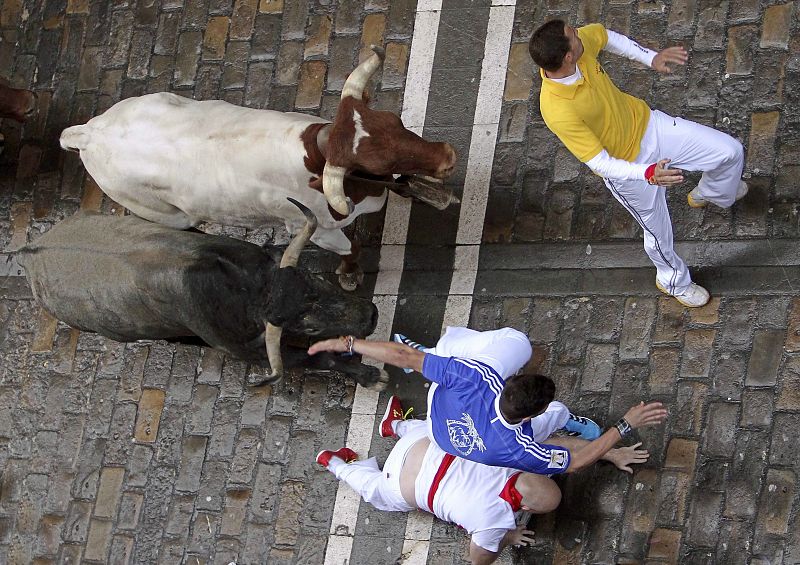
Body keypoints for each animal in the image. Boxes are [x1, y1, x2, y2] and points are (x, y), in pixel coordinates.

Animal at [18, 205, 388, 390]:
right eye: (308, 327)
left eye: (316, 279)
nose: (371, 316)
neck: (248, 290)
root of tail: (28, 252)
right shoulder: (247, 352)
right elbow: (319, 358)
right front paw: (370, 376)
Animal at [57, 46, 456, 288]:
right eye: (375, 161)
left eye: (395, 122)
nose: (448, 155)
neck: (311, 155)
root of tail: (88, 132)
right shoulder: (318, 231)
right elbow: (352, 249)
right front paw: (349, 274)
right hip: (165, 214)